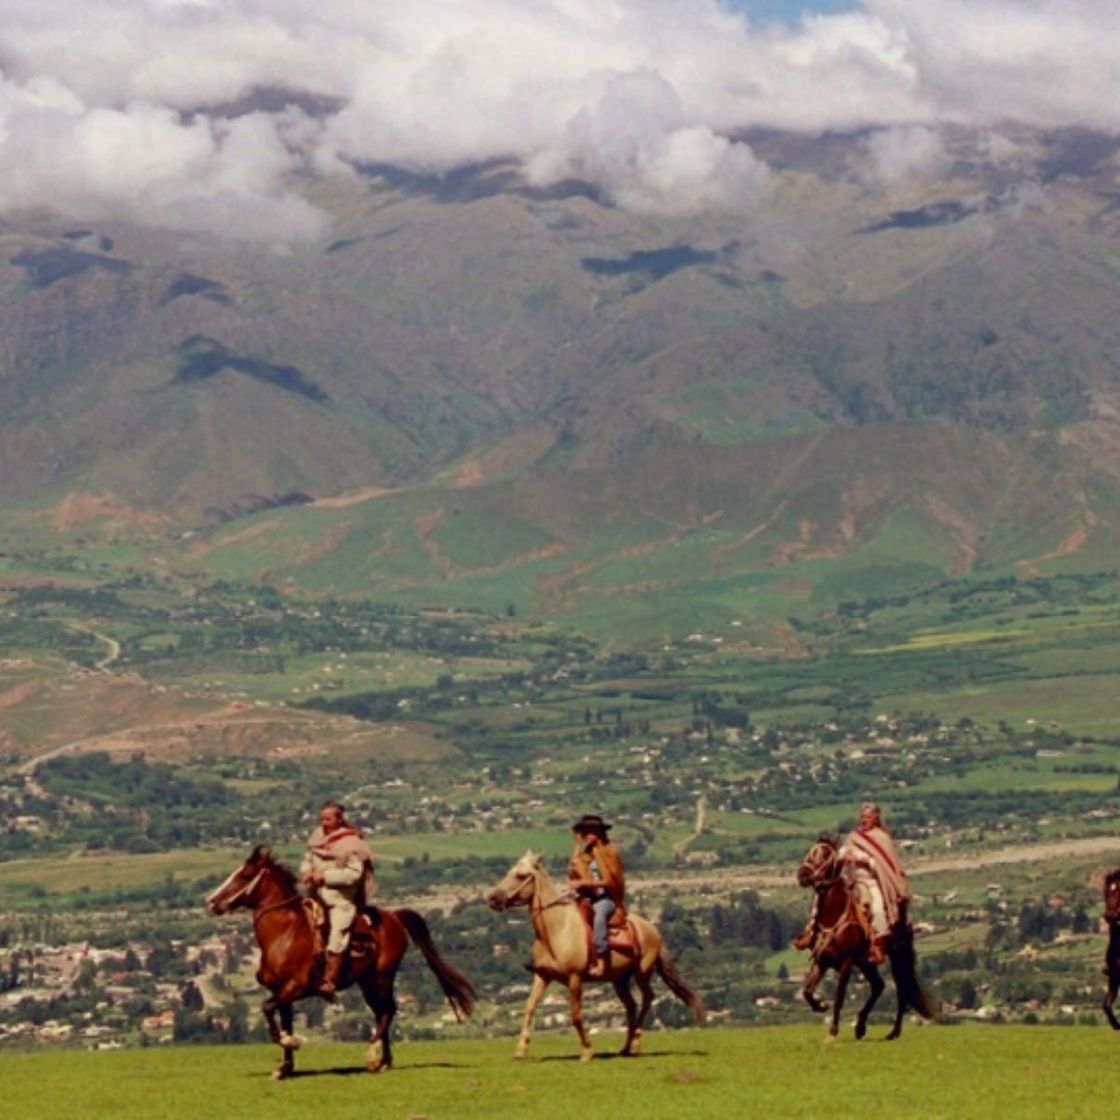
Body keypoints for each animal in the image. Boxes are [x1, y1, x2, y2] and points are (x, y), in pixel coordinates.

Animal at [208, 846, 474, 1075]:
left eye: (245, 875)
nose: (211, 901)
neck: (285, 934)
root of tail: (394, 917)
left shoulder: (296, 988)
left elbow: (267, 1010)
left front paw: (291, 1043)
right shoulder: (281, 992)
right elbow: (283, 1020)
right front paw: (285, 1067)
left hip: (382, 977)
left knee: (388, 1011)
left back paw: (373, 1056)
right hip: (367, 982)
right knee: (382, 1012)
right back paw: (384, 1061)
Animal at [486, 851, 703, 1061]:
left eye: (521, 875)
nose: (492, 898)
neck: (557, 929)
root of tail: (653, 929)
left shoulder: (575, 978)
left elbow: (575, 1014)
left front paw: (587, 1051)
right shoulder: (542, 976)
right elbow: (530, 1007)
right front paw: (521, 1050)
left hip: (642, 972)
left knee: (648, 998)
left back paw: (635, 1044)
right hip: (620, 979)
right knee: (631, 1006)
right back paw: (625, 1048)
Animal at [792, 833, 940, 1039]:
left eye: (824, 856)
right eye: (810, 852)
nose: (802, 875)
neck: (834, 916)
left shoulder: (847, 962)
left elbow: (839, 995)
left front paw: (833, 1031)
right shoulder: (822, 961)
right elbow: (807, 991)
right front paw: (820, 1006)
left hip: (897, 956)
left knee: (901, 990)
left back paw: (893, 1031)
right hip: (866, 962)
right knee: (879, 986)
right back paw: (861, 1026)